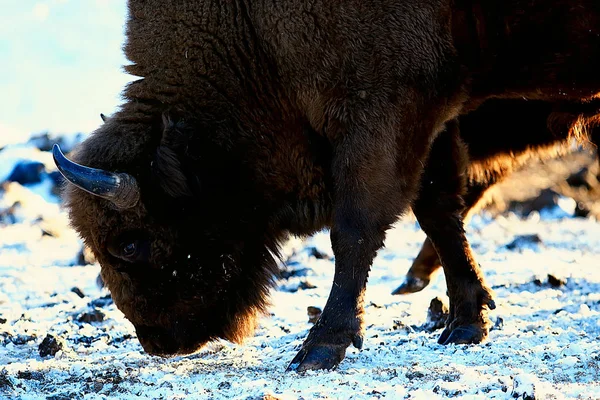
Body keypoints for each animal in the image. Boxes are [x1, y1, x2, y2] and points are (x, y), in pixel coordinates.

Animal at [54, 0, 596, 372]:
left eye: (129, 243)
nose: (158, 342)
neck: (251, 33)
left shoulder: (380, 115)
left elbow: (354, 232)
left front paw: (319, 348)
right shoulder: (434, 121)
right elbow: (439, 212)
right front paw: (465, 322)